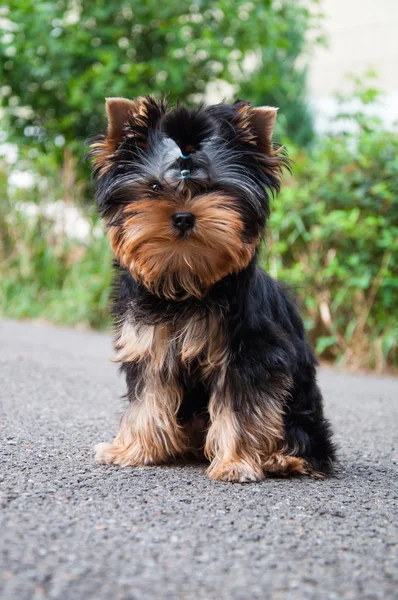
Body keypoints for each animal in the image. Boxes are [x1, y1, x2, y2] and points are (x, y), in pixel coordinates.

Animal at [90, 97, 336, 482]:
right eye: (155, 188)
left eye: (214, 189)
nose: (183, 216)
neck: (185, 277)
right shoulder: (150, 344)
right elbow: (148, 396)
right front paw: (133, 450)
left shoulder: (249, 354)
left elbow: (242, 407)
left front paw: (235, 462)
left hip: (304, 416)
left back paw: (282, 457)